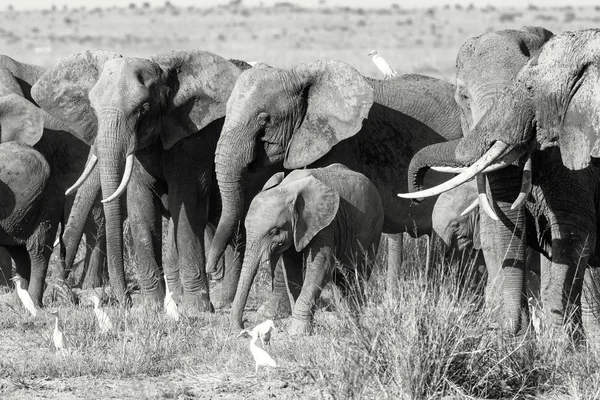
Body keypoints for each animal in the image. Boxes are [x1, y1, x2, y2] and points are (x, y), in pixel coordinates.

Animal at [30, 50, 245, 310]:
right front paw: (153, 307)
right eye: (92, 108)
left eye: (144, 108)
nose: (125, 300)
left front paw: (197, 309)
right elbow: (141, 204)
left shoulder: (194, 136)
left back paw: (223, 300)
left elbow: (187, 204)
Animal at [231, 162, 384, 334]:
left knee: (358, 273)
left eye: (274, 231)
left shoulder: (325, 223)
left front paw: (296, 331)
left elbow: (321, 266)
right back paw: (346, 318)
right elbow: (291, 269)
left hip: (373, 228)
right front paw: (303, 326)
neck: (287, 188)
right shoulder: (297, 229)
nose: (243, 328)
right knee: (341, 277)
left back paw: (357, 320)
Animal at [400, 28, 600, 334]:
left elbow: (571, 232)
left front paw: (554, 338)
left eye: (528, 90)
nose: (418, 190)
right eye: (463, 97)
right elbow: (497, 231)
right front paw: (511, 333)